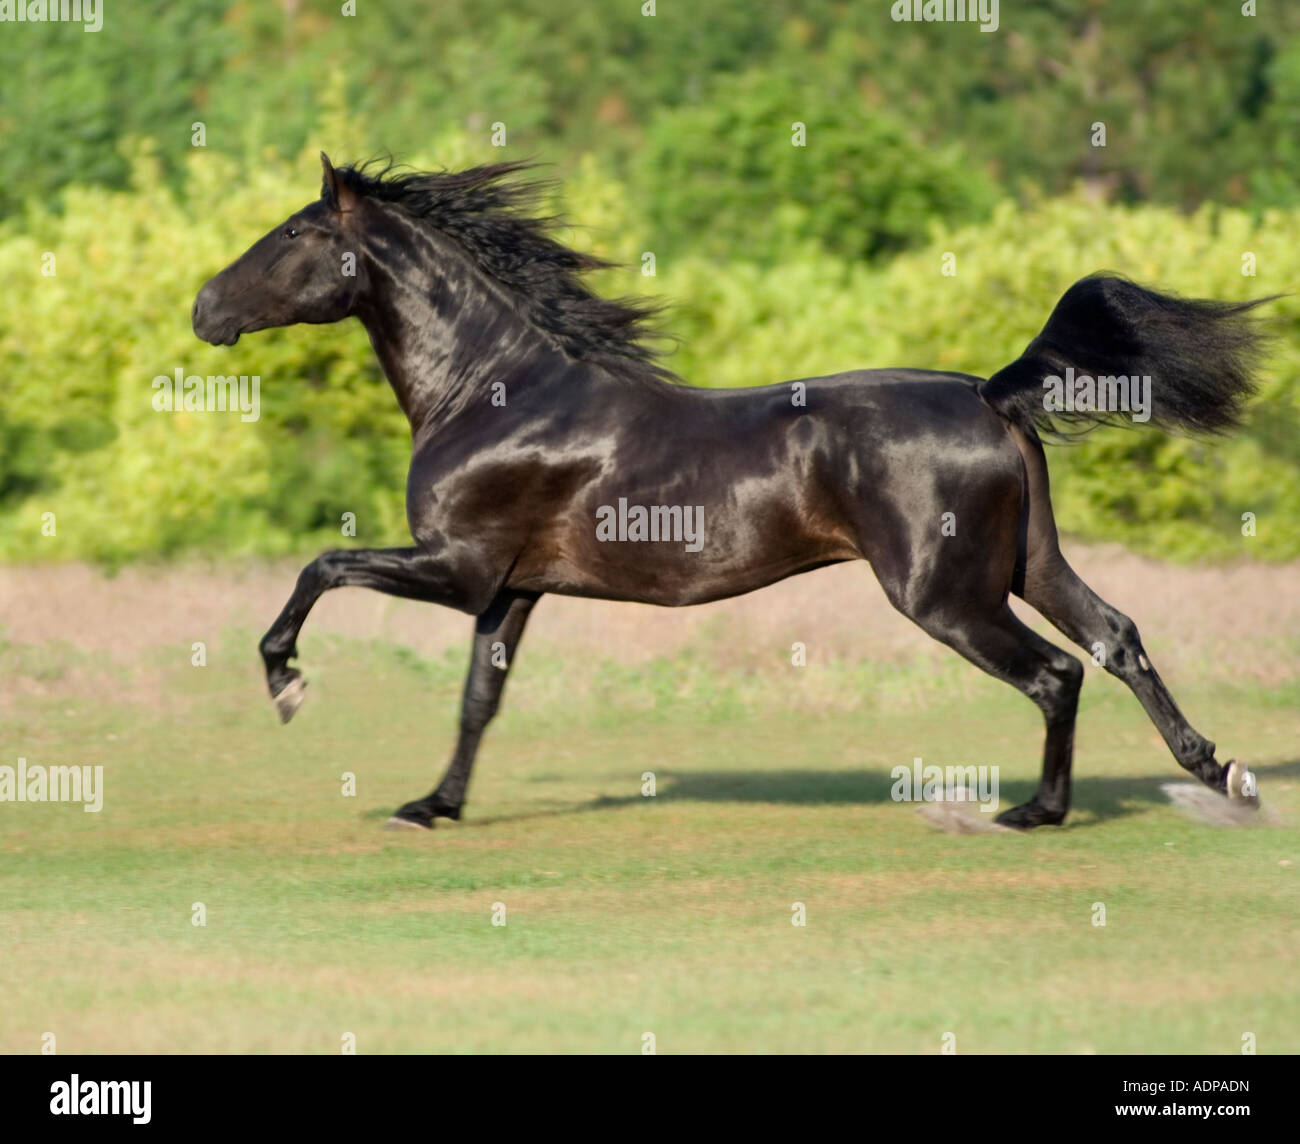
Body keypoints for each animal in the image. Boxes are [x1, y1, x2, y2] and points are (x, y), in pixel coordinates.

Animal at [192, 152, 1268, 832]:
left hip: (946, 595)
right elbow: (477, 702)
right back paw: (1223, 772)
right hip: (1026, 564)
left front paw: (287, 683)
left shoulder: (457, 569)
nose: (204, 307)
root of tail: (990, 393)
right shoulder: (509, 589)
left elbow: (322, 564)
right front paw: (432, 806)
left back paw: (1037, 812)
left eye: (292, 232)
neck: (492, 392)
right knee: (1115, 637)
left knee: (1056, 674)